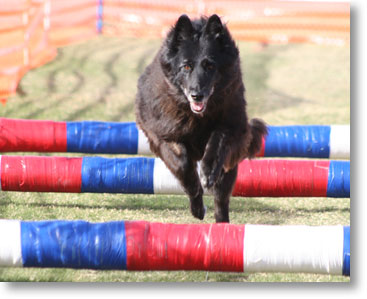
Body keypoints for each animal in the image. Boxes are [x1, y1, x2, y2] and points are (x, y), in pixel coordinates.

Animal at [135, 15, 268, 224]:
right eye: (186, 66)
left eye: (210, 66)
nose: (197, 95)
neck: (196, 116)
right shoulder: (163, 136)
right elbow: (183, 165)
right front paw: (197, 195)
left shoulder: (233, 127)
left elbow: (217, 140)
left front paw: (208, 171)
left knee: (221, 200)